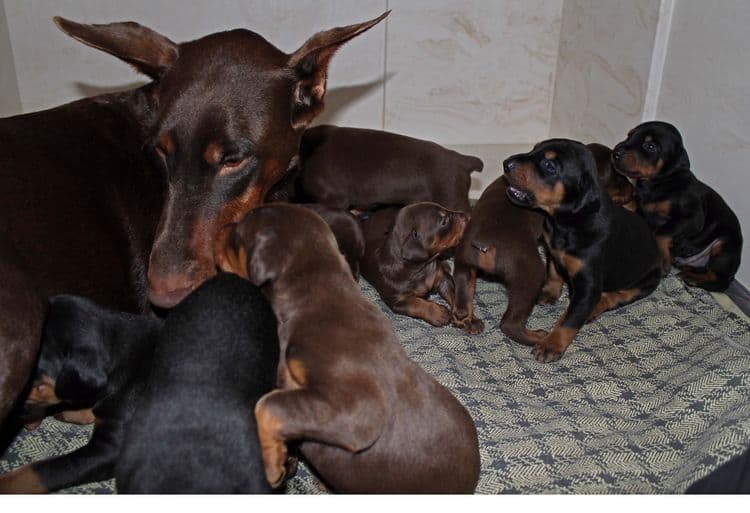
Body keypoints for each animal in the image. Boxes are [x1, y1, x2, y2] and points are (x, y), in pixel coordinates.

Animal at [506, 140, 664, 362]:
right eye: (533, 149)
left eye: (549, 165)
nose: (506, 163)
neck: (569, 221)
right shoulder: (552, 248)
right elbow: (553, 272)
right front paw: (548, 292)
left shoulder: (588, 284)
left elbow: (570, 321)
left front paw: (551, 345)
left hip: (646, 281)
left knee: (614, 297)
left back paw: (591, 310)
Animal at [612, 118, 744, 290]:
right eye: (629, 135)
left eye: (650, 146)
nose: (615, 152)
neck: (658, 183)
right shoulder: (641, 207)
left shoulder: (692, 218)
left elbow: (662, 232)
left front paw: (662, 259)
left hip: (725, 246)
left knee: (720, 280)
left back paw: (692, 278)